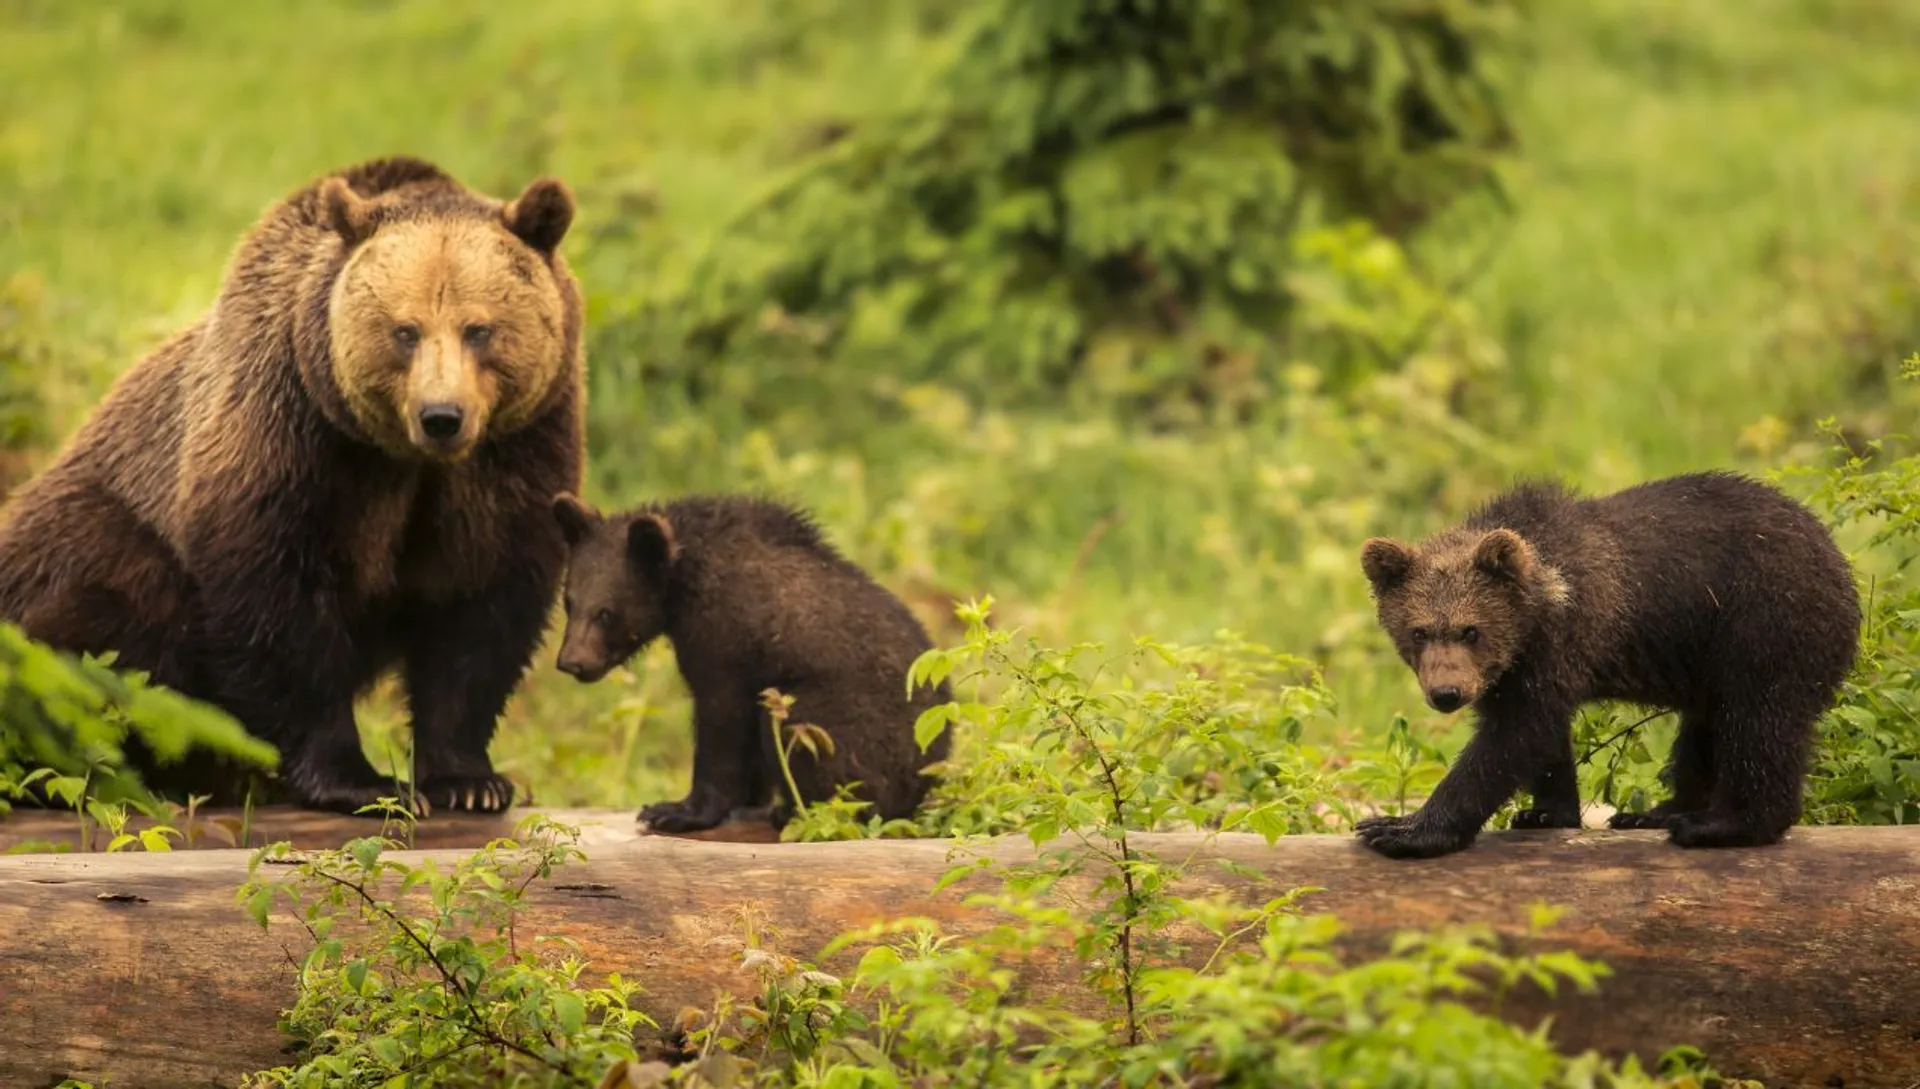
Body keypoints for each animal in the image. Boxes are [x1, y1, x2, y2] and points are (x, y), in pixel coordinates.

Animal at [0, 155, 583, 818]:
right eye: (404, 331)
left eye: (479, 329)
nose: (441, 416)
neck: (406, 461)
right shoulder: (295, 434)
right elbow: (278, 603)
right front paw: (363, 781)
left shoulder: (513, 454)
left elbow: (482, 608)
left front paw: (469, 781)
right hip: (80, 543)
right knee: (116, 607)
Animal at [549, 495, 952, 833]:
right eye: (569, 601)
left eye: (606, 612)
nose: (572, 662)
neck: (684, 584)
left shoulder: (724, 641)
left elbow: (722, 723)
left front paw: (674, 810)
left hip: (836, 721)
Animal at [1351, 472, 1858, 864]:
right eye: (1419, 631)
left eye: (1470, 630)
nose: (1446, 693)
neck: (1540, 604)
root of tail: (1841, 565)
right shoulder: (1516, 666)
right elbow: (1538, 731)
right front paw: (1543, 812)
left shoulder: (1568, 635)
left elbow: (1513, 735)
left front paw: (1398, 829)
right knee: (1704, 730)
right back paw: (1656, 811)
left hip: (1762, 622)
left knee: (1759, 722)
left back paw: (1719, 825)